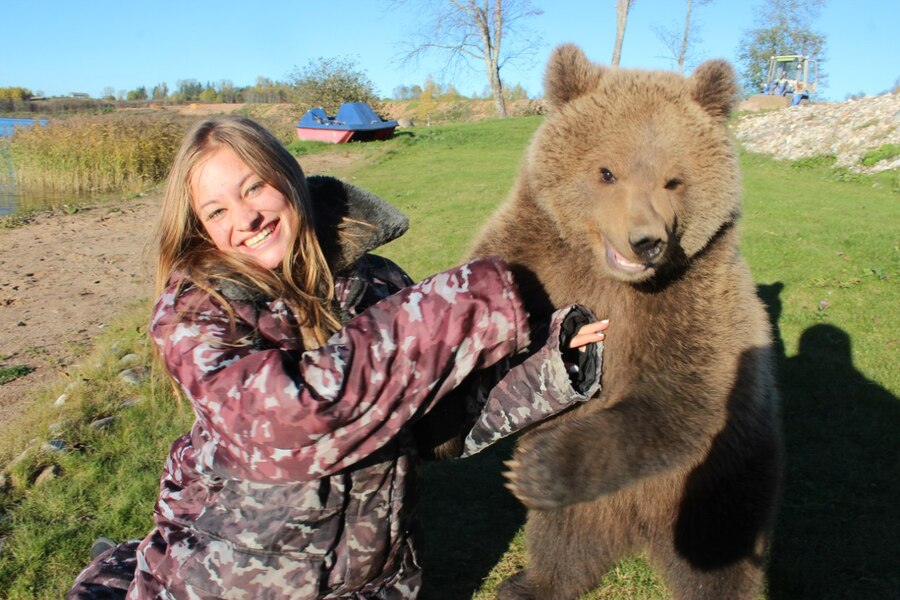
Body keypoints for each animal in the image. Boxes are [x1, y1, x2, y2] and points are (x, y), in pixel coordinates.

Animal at [472, 44, 788, 596]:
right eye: (607, 172)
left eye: (674, 179)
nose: (647, 241)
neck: (611, 278)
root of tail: (639, 529)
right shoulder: (535, 250)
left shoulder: (696, 298)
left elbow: (685, 396)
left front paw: (536, 468)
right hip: (594, 508)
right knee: (563, 537)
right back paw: (532, 582)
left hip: (725, 475)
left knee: (721, 554)